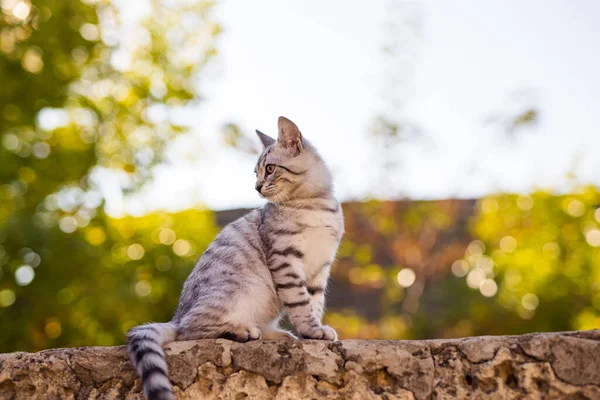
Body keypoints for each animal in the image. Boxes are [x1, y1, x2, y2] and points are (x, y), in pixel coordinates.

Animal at [126, 116, 342, 400]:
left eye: (269, 169)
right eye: (256, 172)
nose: (257, 187)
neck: (314, 204)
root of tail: (177, 315)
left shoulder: (320, 267)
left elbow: (314, 302)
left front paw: (314, 332)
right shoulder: (285, 259)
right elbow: (300, 302)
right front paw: (311, 330)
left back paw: (277, 335)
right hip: (239, 290)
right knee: (189, 331)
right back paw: (242, 330)